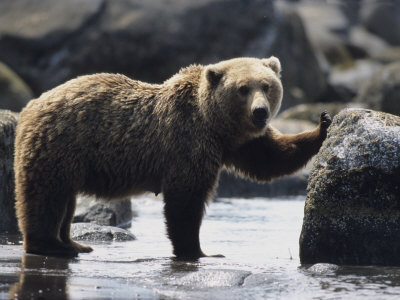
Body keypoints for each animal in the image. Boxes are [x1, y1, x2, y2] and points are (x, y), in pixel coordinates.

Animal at [14, 57, 332, 258]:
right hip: (59, 144)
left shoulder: (238, 142)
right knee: (47, 196)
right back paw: (50, 245)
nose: (260, 112)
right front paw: (200, 251)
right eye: (243, 89)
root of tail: (30, 106)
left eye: (267, 85)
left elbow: (270, 158)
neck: (214, 124)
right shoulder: (187, 141)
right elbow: (186, 199)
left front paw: (323, 124)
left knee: (65, 199)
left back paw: (73, 244)